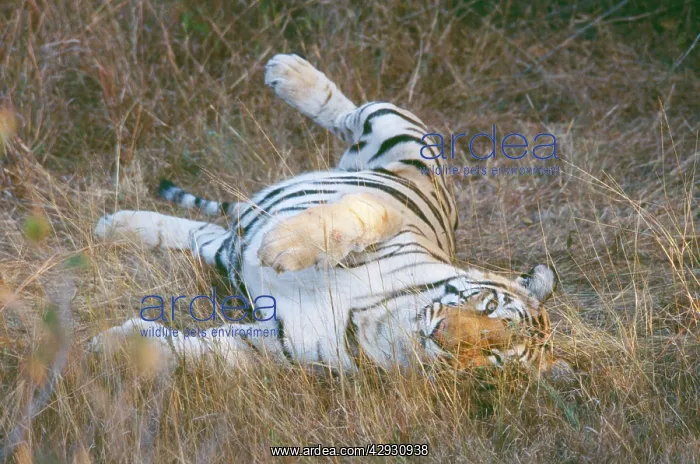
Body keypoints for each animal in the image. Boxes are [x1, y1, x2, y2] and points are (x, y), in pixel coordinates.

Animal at [89, 53, 571, 377]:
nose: (440, 335)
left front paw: (105, 348)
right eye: (487, 307)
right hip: (404, 136)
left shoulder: (274, 345)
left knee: (201, 234)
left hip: (225, 252)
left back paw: (116, 226)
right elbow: (352, 219)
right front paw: (282, 248)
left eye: (495, 357)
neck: (386, 328)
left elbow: (197, 352)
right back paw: (286, 71)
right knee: (348, 112)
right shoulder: (391, 213)